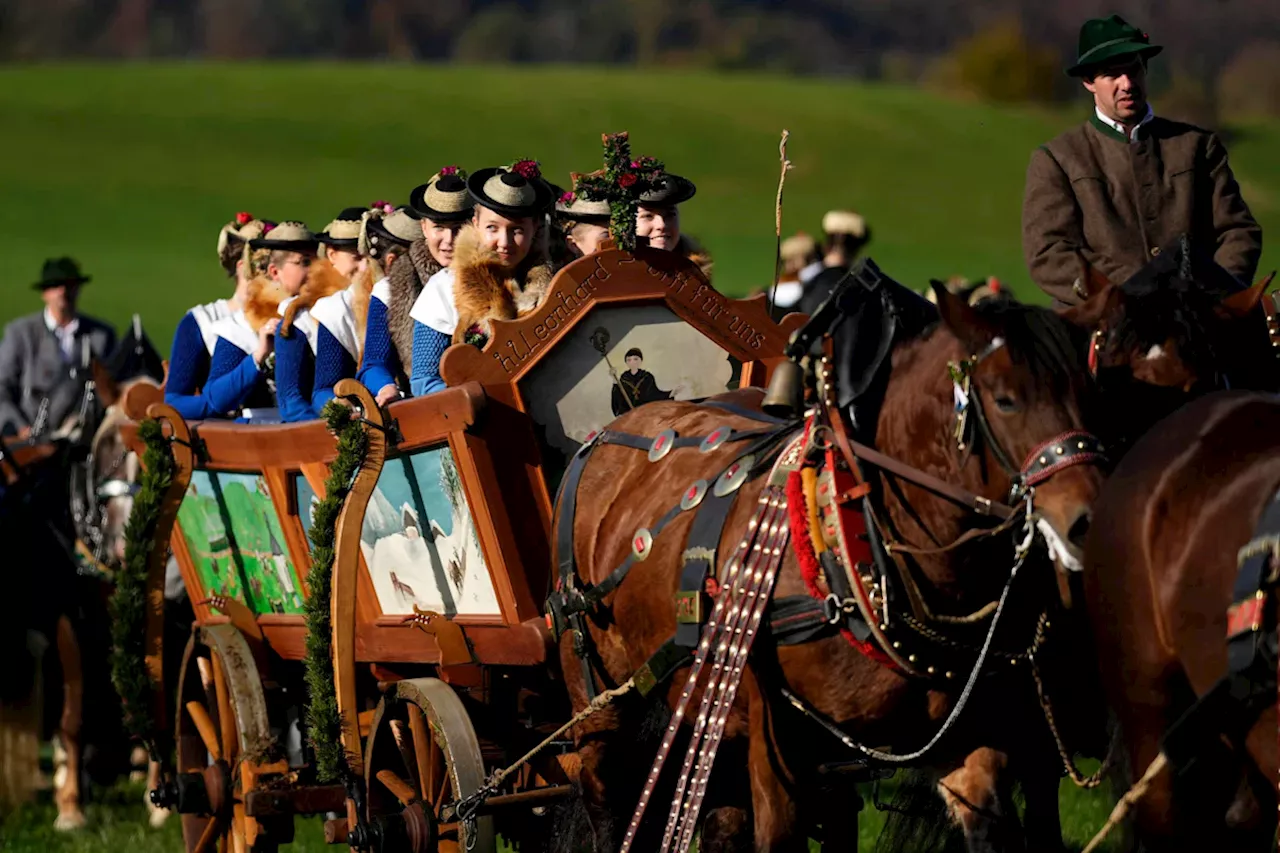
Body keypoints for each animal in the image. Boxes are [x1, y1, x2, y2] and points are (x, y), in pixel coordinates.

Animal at [560, 281, 1111, 845]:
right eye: (1005, 400)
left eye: (1092, 394)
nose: (1089, 521)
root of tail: (608, 433)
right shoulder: (776, 748)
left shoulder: (967, 738)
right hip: (600, 704)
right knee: (606, 796)